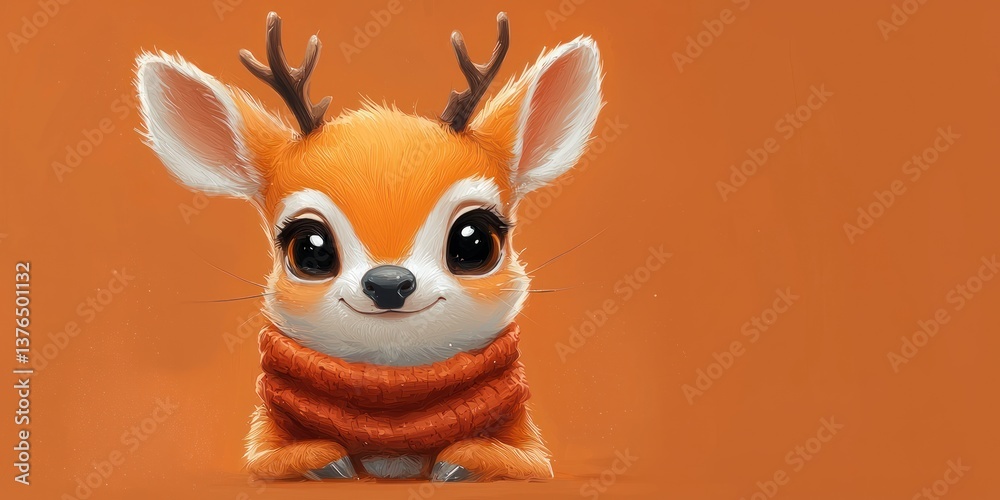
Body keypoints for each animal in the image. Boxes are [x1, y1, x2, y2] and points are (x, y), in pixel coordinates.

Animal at [135, 11, 602, 482]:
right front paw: (328, 459)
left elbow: (495, 459)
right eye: (309, 248)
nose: (389, 282)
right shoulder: (260, 451)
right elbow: (285, 460)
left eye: (473, 242)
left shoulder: (534, 456)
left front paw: (455, 461)